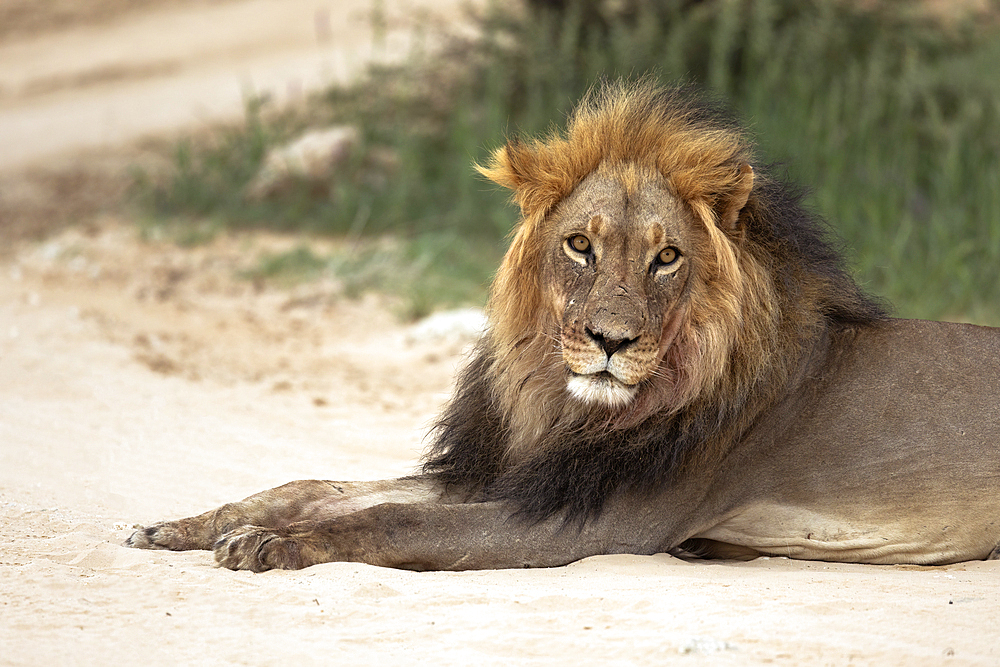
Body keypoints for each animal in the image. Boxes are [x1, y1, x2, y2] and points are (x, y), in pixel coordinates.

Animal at [127, 77, 1000, 568]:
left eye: (667, 258)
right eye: (581, 245)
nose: (612, 342)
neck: (559, 400)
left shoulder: (579, 522)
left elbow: (390, 515)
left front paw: (274, 546)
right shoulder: (513, 472)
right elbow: (313, 487)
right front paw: (186, 525)